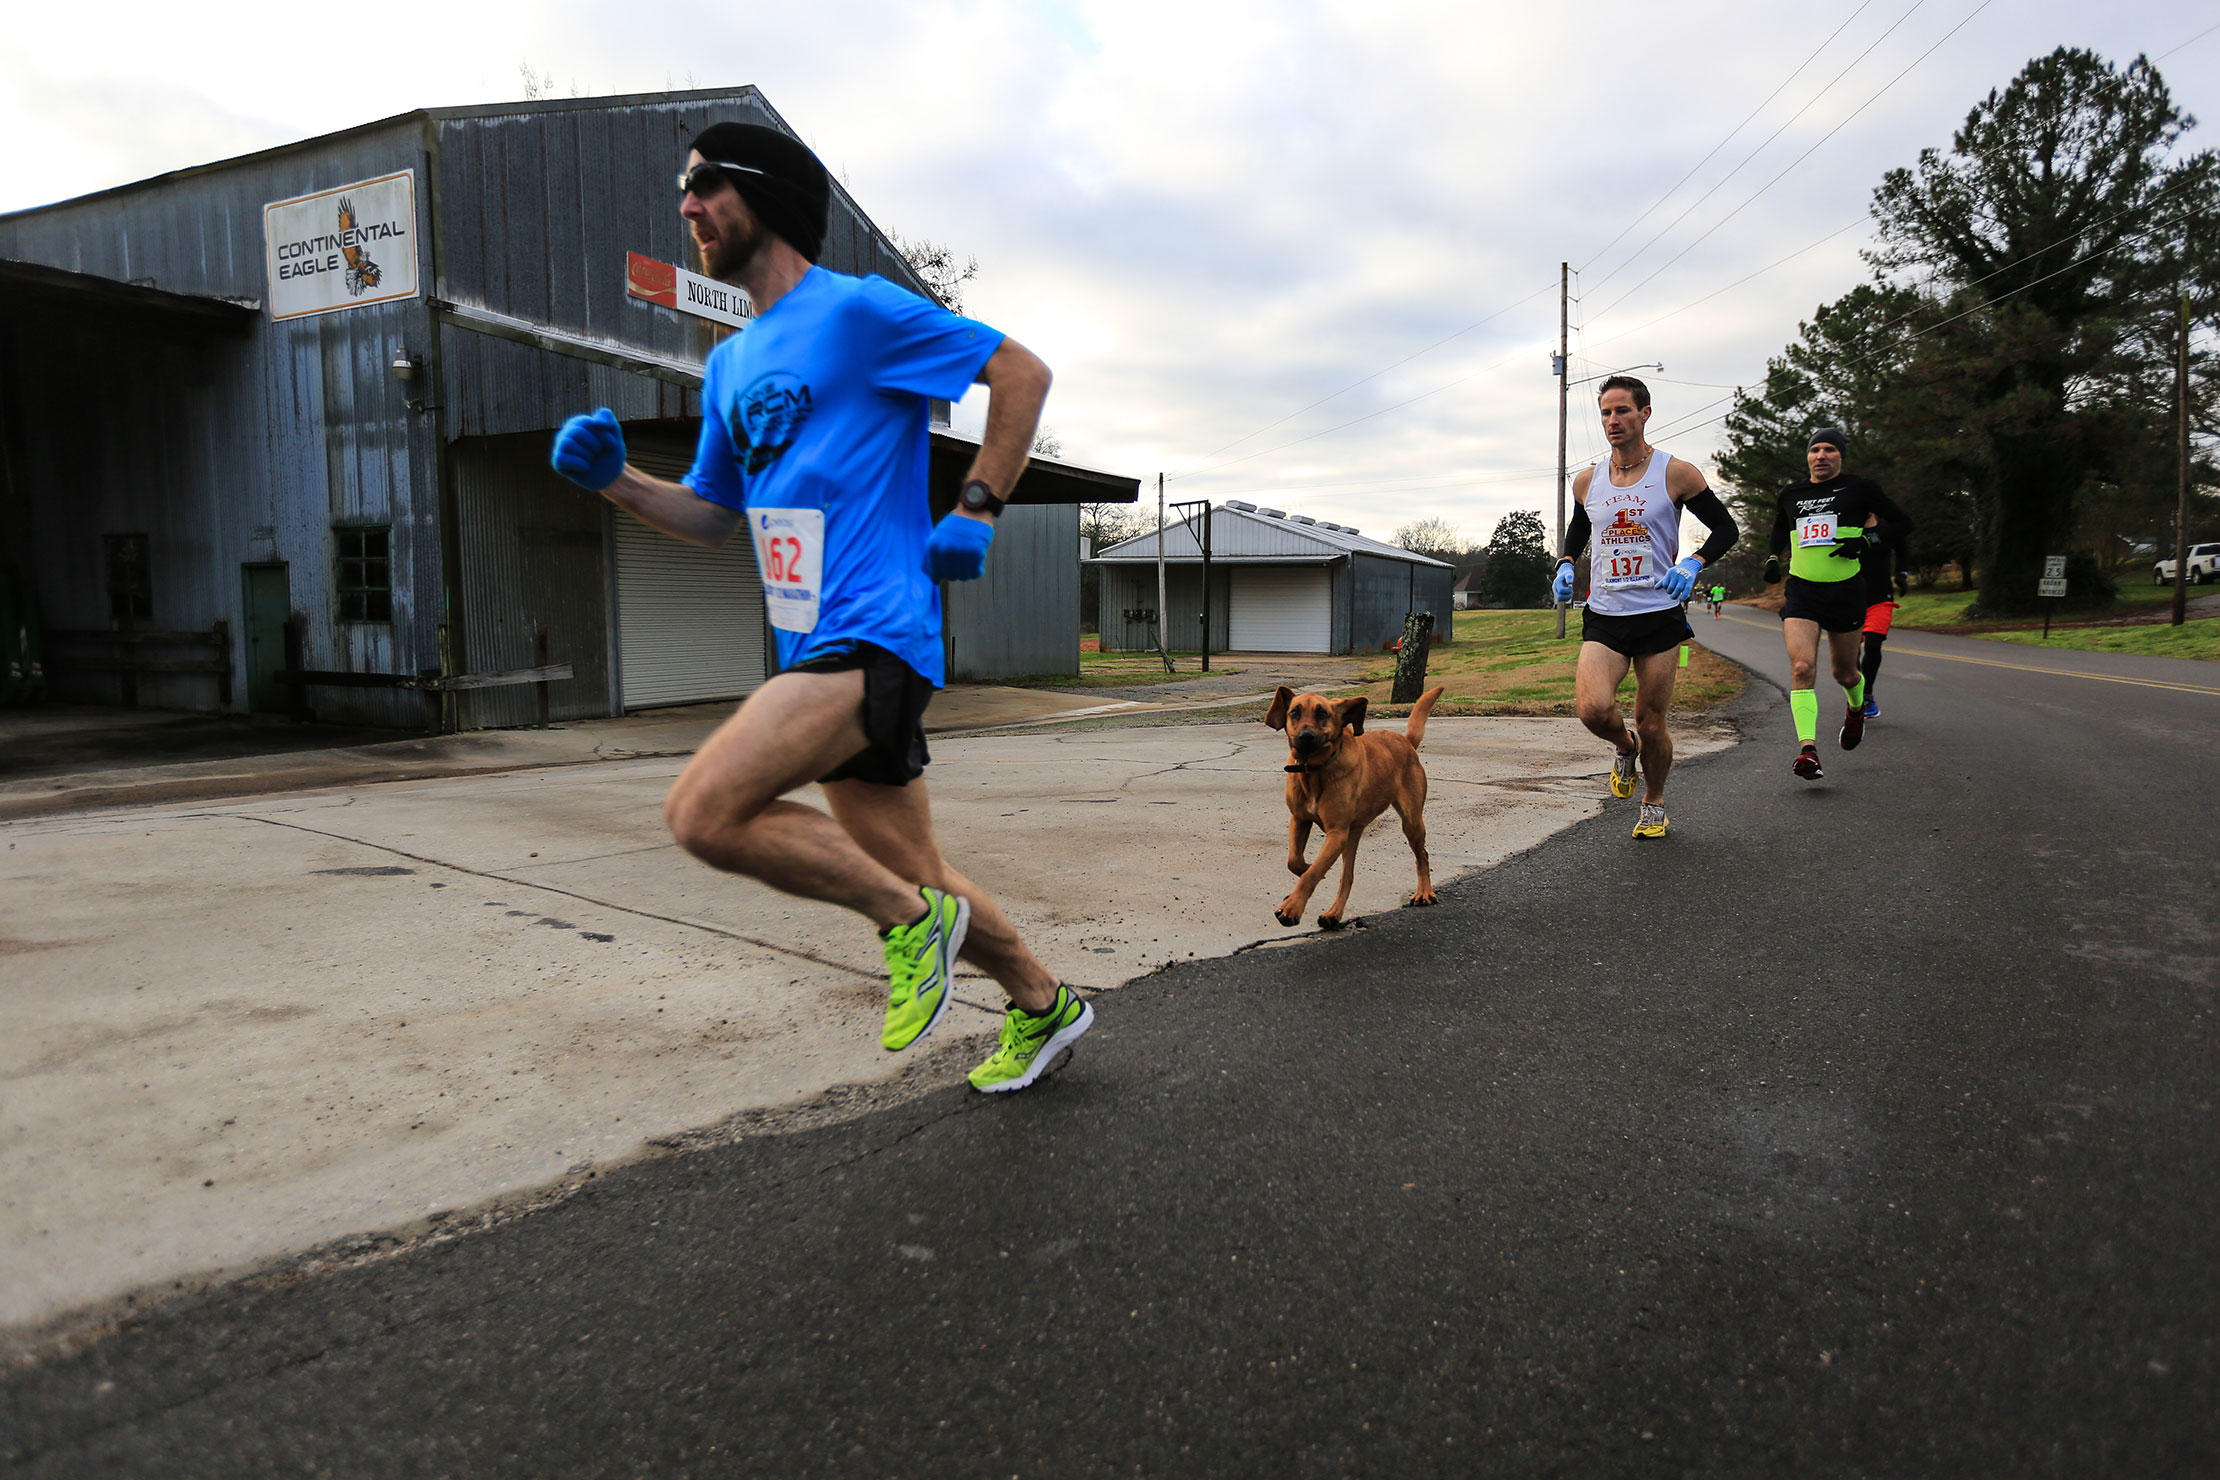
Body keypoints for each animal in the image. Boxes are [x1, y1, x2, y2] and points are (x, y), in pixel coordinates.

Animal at [1269, 683, 1438, 927]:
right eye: (1294, 712)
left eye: (1322, 713)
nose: (1305, 737)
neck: (1314, 771)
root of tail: (1406, 741)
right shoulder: (1300, 819)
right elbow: (1295, 861)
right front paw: (1303, 875)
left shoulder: (1336, 833)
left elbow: (1312, 874)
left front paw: (1292, 907)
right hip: (1352, 837)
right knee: (1347, 876)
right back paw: (1333, 913)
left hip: (1411, 821)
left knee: (1422, 855)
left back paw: (1424, 893)